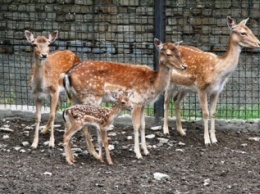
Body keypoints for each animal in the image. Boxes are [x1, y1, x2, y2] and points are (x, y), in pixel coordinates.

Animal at [162, 16, 260, 144]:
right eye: (243, 32)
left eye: (250, 30)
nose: (258, 43)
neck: (218, 70)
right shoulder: (201, 87)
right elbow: (205, 113)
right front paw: (207, 141)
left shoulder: (217, 91)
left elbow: (213, 113)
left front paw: (214, 139)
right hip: (169, 82)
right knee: (166, 101)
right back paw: (165, 130)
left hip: (185, 87)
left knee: (176, 100)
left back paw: (181, 131)